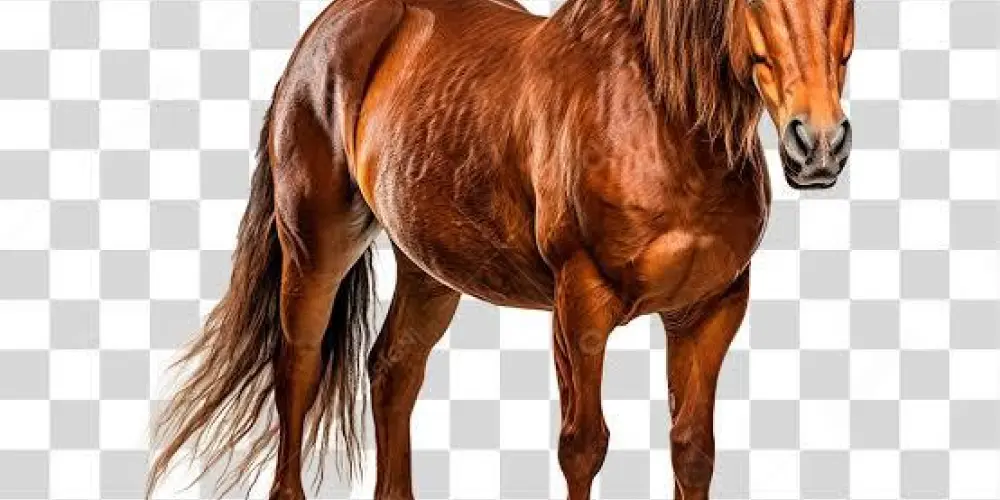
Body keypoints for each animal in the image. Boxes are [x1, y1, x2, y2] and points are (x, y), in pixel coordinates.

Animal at [146, 0, 855, 498]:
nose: (818, 144)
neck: (660, 117)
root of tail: (326, 33)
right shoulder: (580, 305)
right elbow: (583, 446)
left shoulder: (711, 311)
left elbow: (692, 450)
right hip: (314, 247)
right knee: (298, 368)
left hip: (430, 270)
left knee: (392, 369)